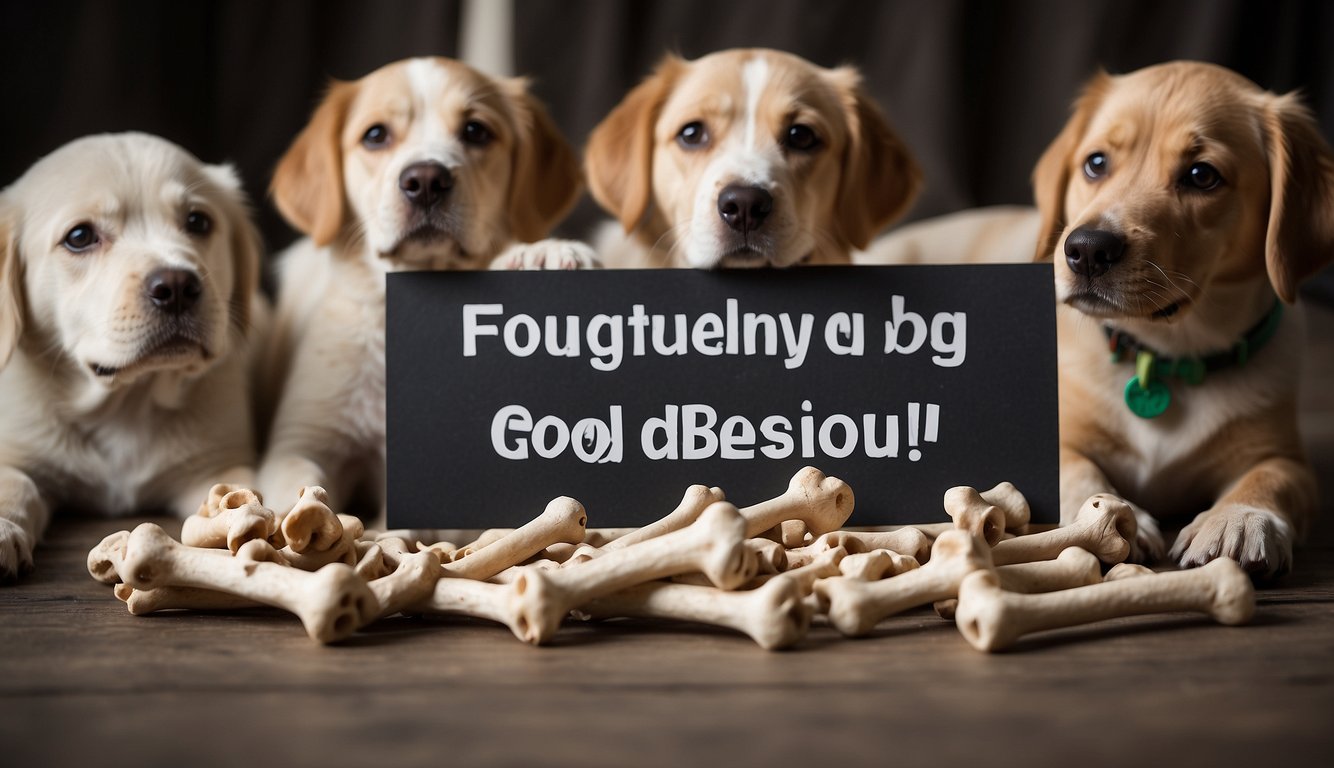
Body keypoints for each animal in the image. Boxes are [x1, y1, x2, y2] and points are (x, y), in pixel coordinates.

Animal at [0, 133, 265, 576]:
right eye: (79, 237)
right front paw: (3, 530)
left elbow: (239, 490)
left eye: (198, 222)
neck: (127, 402)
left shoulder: (215, 464)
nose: (178, 287)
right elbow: (13, 482)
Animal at [257, 58, 586, 517]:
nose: (426, 180)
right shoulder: (299, 440)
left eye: (476, 131)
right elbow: (302, 484)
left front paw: (545, 251)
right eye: (375, 135)